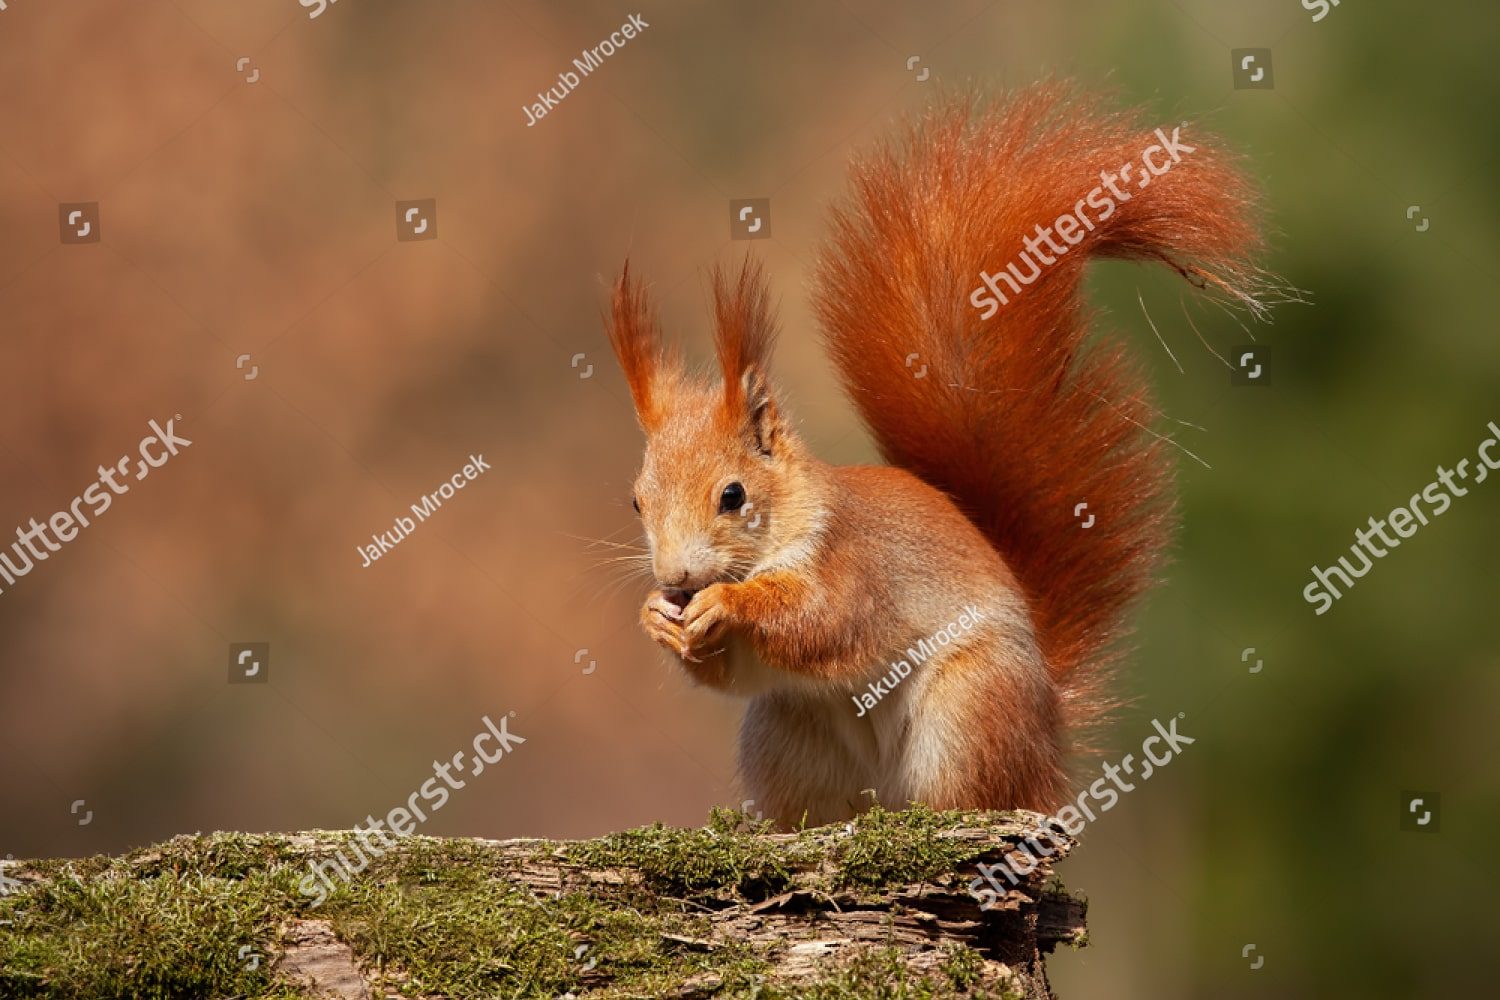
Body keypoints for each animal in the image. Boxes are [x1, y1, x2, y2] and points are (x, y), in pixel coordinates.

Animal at [604, 84, 1265, 828]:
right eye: (637, 500)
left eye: (733, 495)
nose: (676, 578)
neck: (782, 531)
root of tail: (1047, 741)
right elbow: (733, 674)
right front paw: (657, 618)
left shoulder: (856, 565)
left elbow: (823, 621)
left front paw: (726, 603)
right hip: (786, 733)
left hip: (969, 706)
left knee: (972, 789)